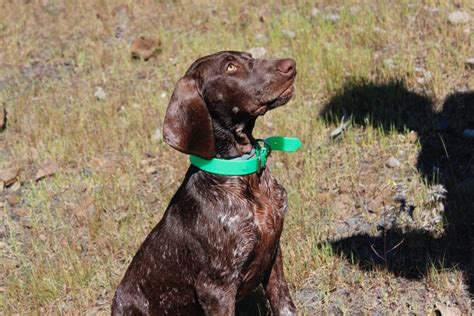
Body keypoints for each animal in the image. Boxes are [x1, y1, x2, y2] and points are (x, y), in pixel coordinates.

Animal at [112, 50, 296, 314]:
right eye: (230, 67)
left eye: (249, 56)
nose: (291, 65)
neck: (245, 178)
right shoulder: (215, 288)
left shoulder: (273, 256)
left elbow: (285, 306)